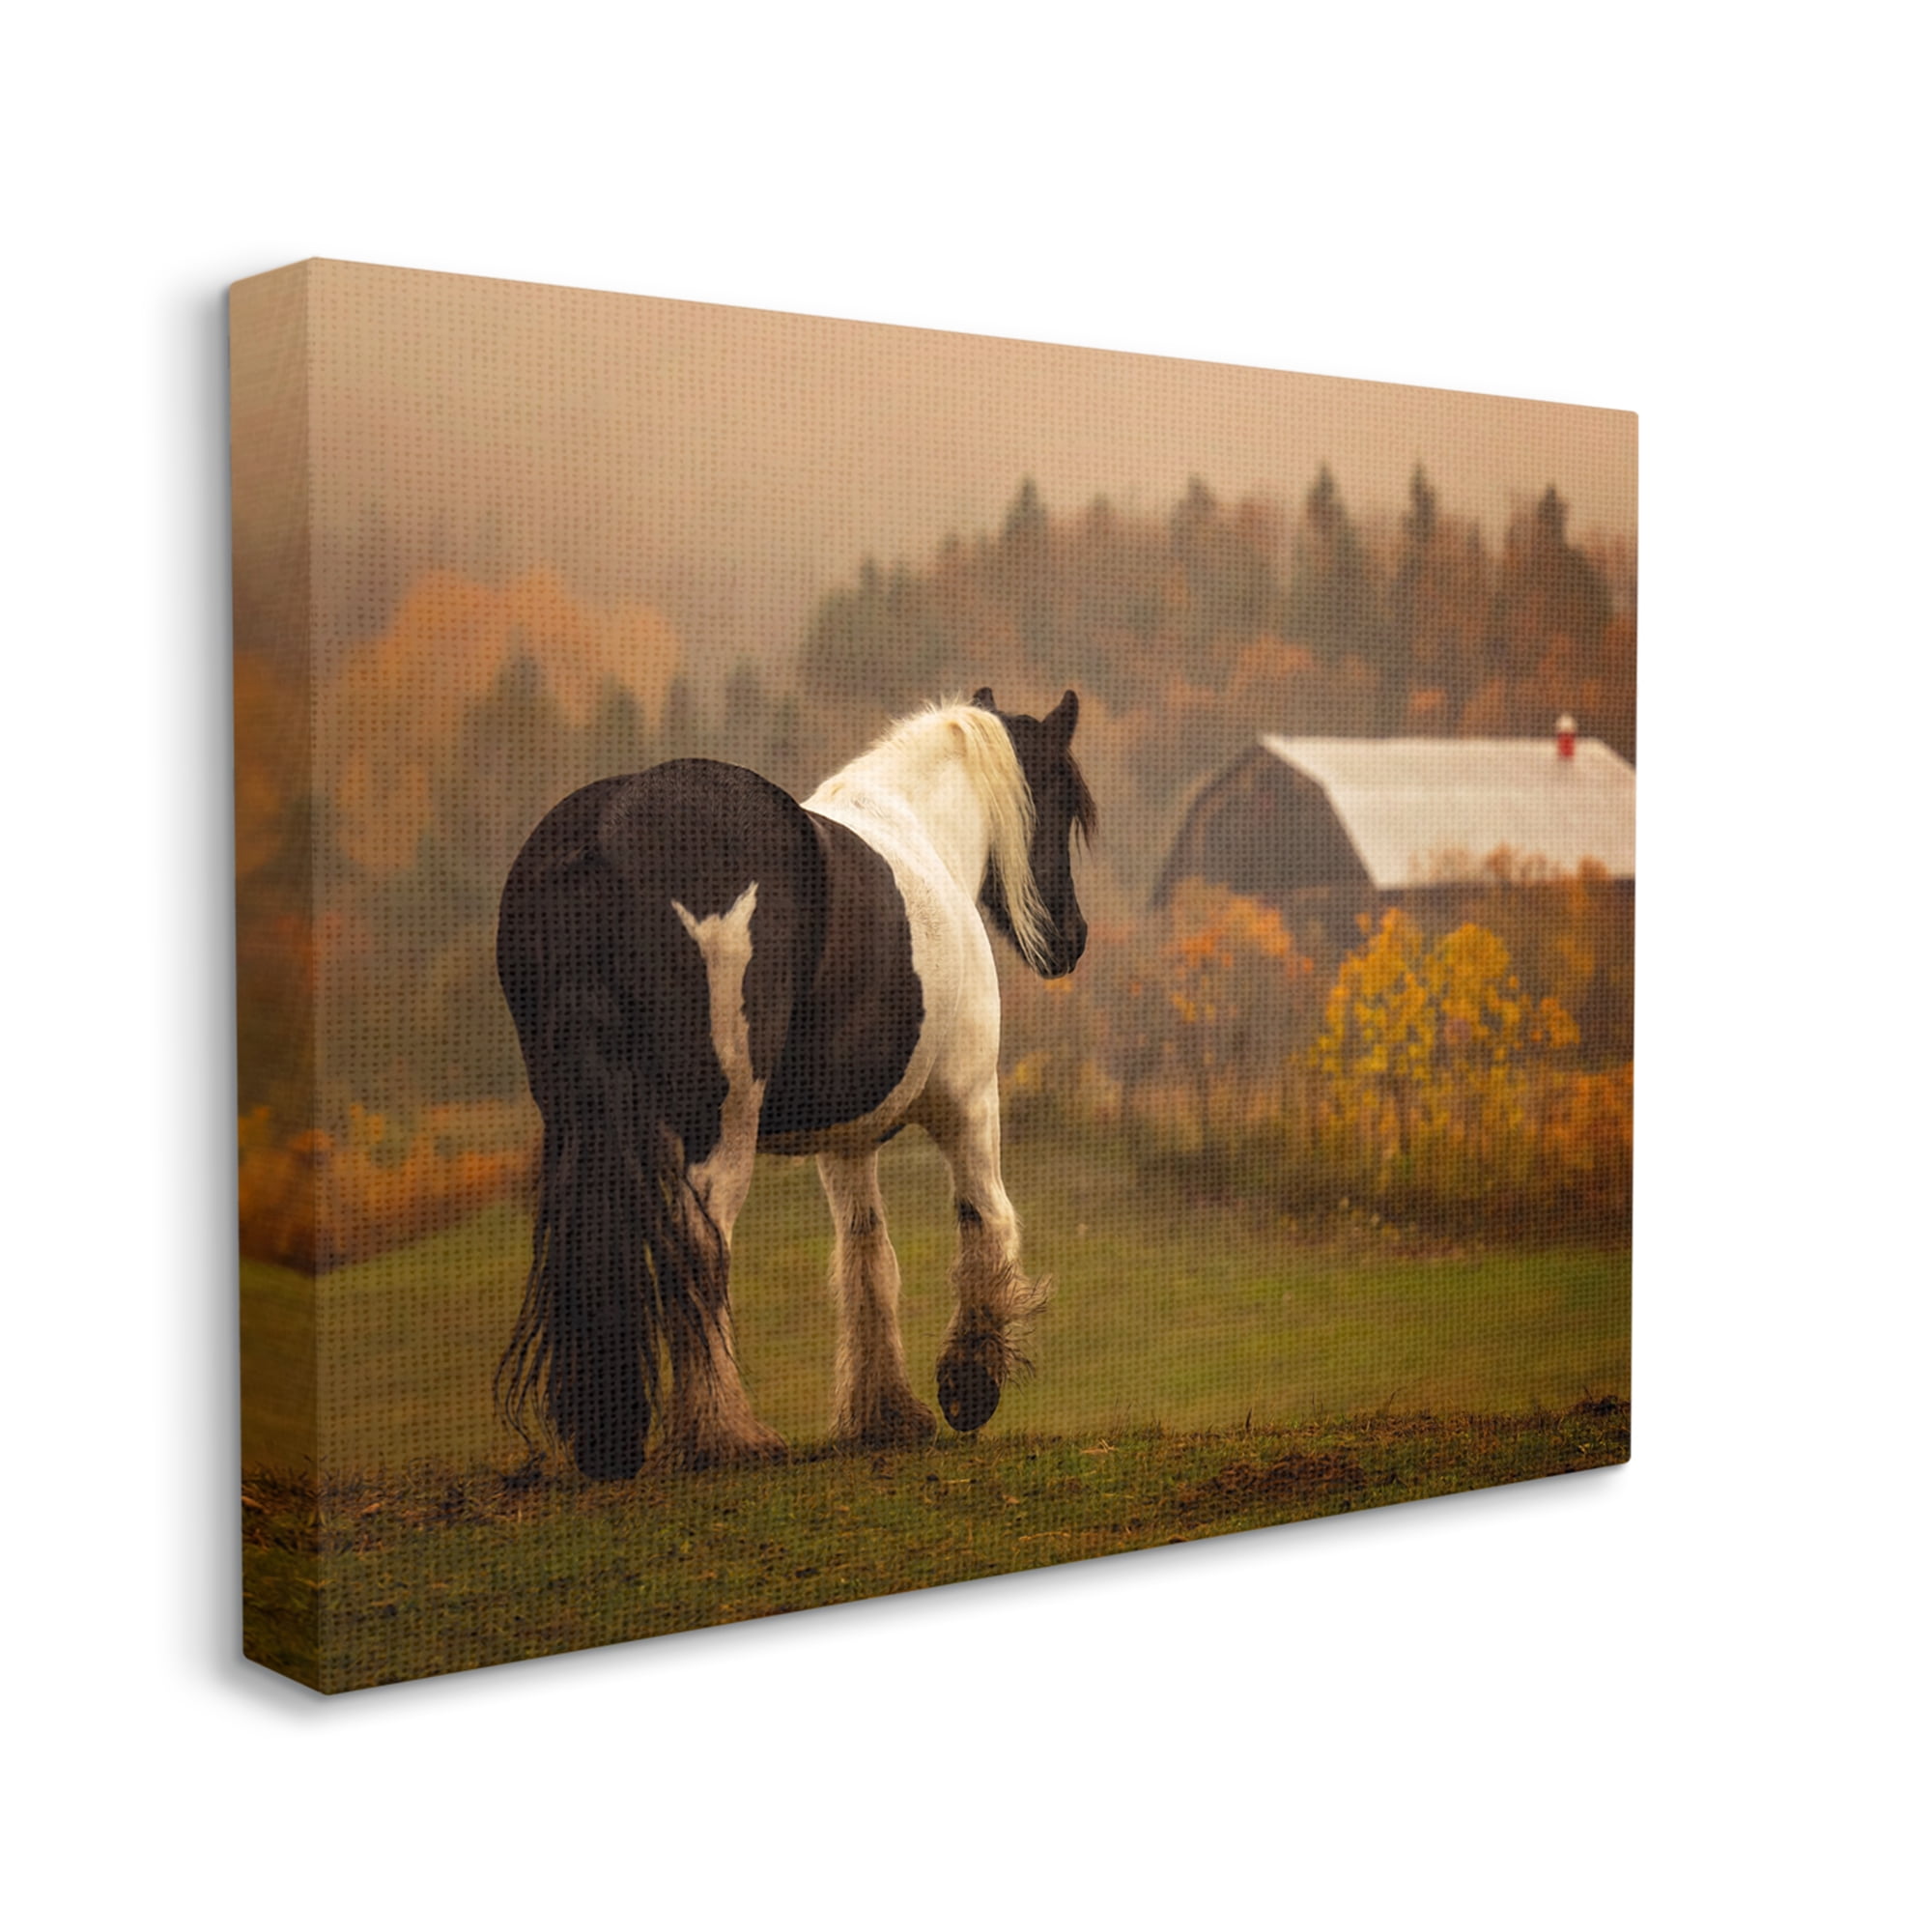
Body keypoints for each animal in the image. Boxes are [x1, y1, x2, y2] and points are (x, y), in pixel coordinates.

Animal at [494, 688, 1095, 1480]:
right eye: (1063, 806)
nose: (1070, 940)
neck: (922, 835)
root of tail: (601, 834)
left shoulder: (847, 1144)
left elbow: (866, 1258)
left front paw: (883, 1414)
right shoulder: (968, 1103)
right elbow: (986, 1221)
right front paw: (969, 1386)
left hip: (576, 1119)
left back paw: (615, 1438)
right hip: (718, 1121)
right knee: (701, 1244)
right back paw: (727, 1434)